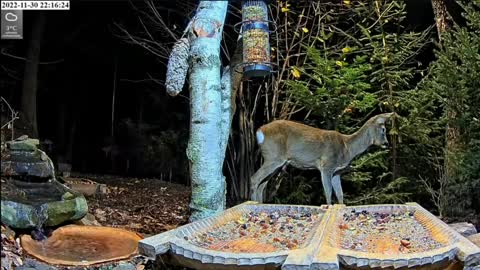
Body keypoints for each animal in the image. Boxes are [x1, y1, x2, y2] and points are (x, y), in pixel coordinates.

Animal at [251, 112, 394, 205]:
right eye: (383, 129)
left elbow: (340, 194)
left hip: (276, 161)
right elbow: (328, 192)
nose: (386, 143)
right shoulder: (327, 166)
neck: (347, 147)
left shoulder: (337, 172)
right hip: (274, 156)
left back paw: (260, 203)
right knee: (254, 178)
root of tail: (259, 131)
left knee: (262, 183)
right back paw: (253, 203)